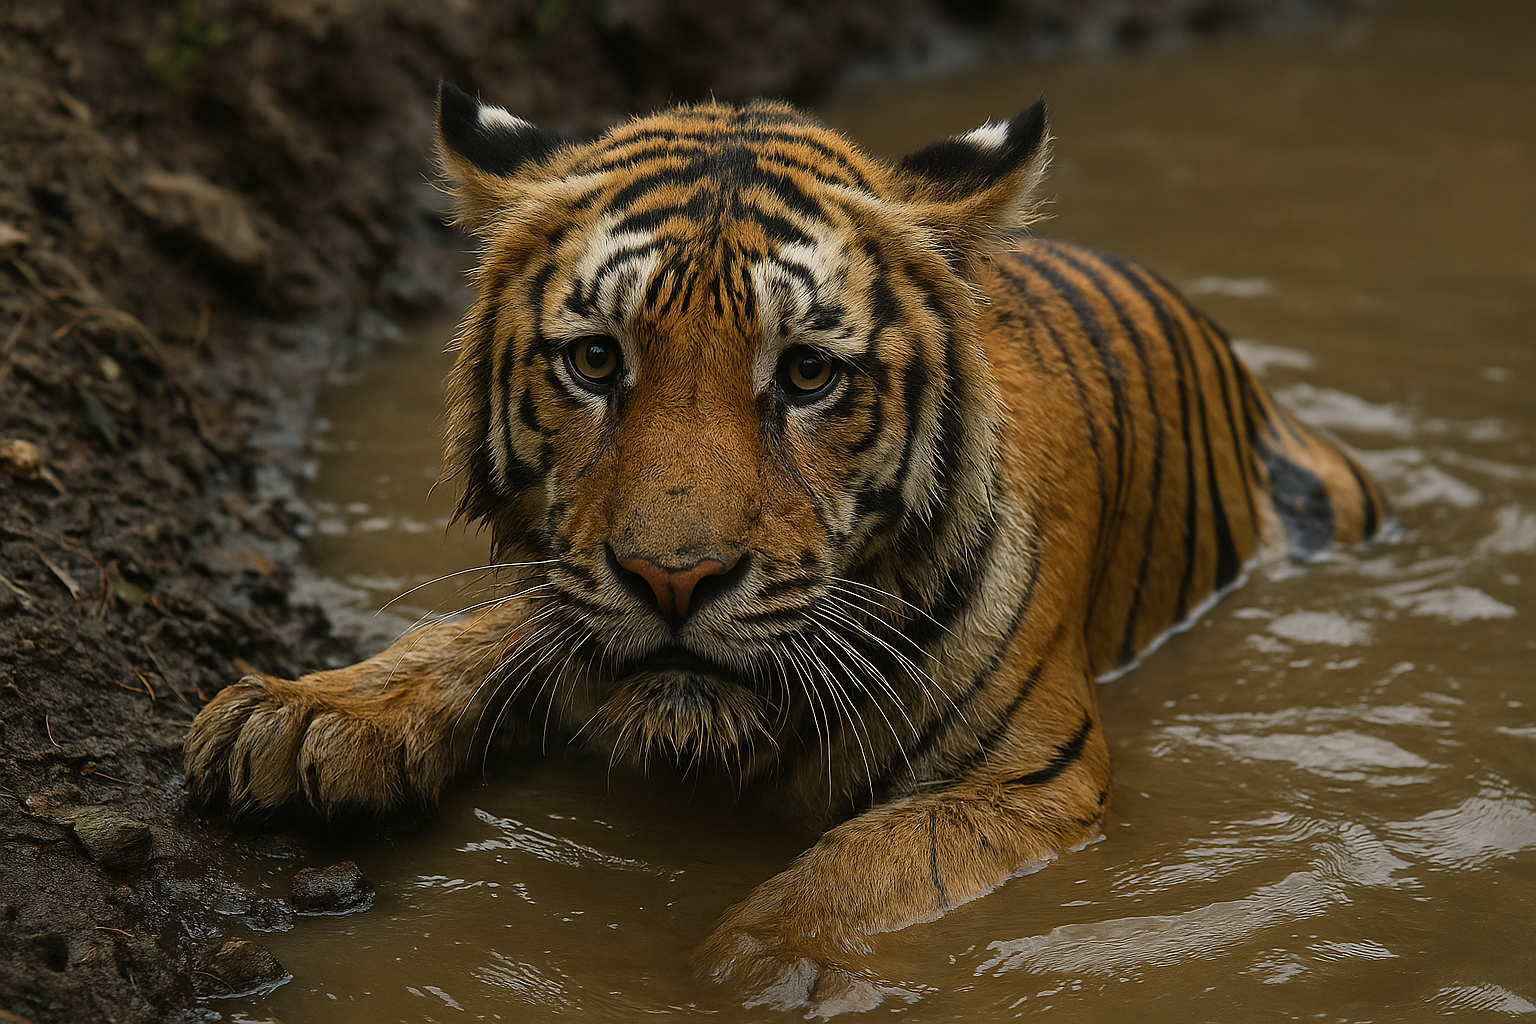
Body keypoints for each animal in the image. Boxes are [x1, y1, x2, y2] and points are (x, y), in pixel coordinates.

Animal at [185, 81, 1386, 1014]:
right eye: (595, 360)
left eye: (807, 373)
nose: (674, 579)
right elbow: (489, 628)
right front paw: (308, 713)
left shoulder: (1031, 782)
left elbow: (868, 862)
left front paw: (769, 966)